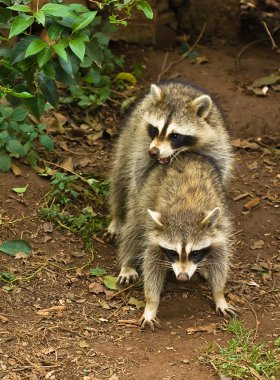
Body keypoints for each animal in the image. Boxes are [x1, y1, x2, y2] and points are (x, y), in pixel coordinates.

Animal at [106, 81, 233, 240]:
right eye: (155, 130)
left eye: (175, 136)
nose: (153, 152)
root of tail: (177, 82)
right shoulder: (142, 143)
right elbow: (138, 177)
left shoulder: (216, 143)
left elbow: (218, 172)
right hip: (128, 135)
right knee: (120, 177)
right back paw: (117, 216)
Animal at [116, 153, 236, 332]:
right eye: (173, 252)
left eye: (195, 253)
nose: (182, 277)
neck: (185, 210)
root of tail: (187, 154)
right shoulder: (155, 238)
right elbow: (152, 266)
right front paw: (151, 304)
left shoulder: (219, 231)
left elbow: (220, 261)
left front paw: (219, 294)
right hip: (145, 194)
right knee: (134, 228)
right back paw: (127, 262)